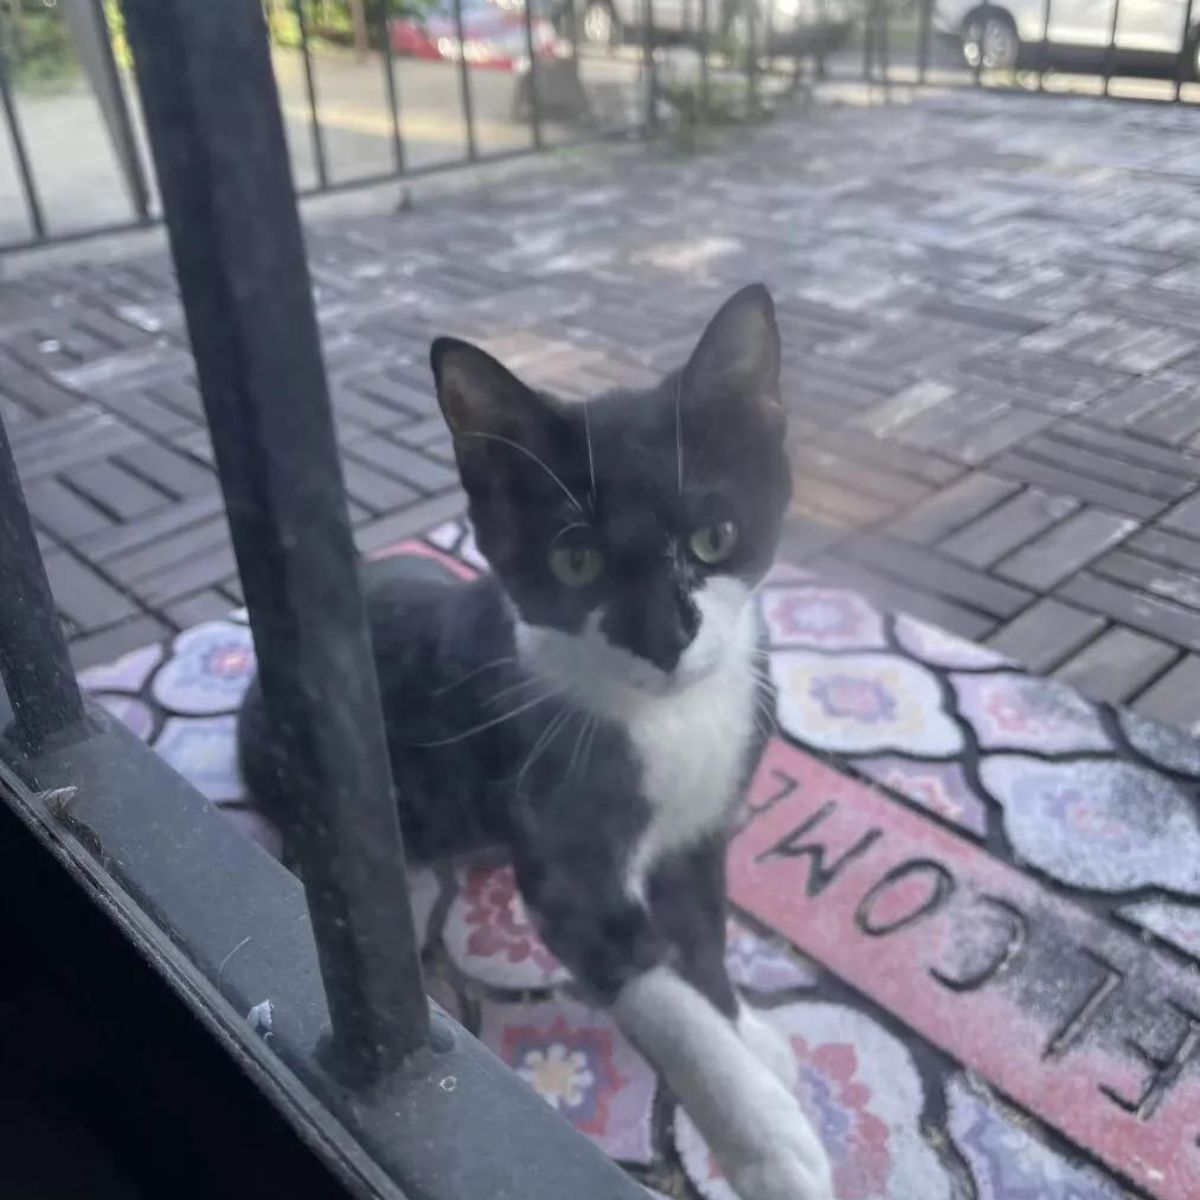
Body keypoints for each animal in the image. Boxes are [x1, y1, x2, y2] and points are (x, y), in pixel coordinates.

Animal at [235, 283, 835, 1200]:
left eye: (715, 538)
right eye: (576, 561)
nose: (664, 635)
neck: (670, 722)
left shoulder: (698, 837)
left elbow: (702, 944)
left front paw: (750, 1036)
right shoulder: (565, 852)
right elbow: (661, 991)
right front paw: (771, 1145)